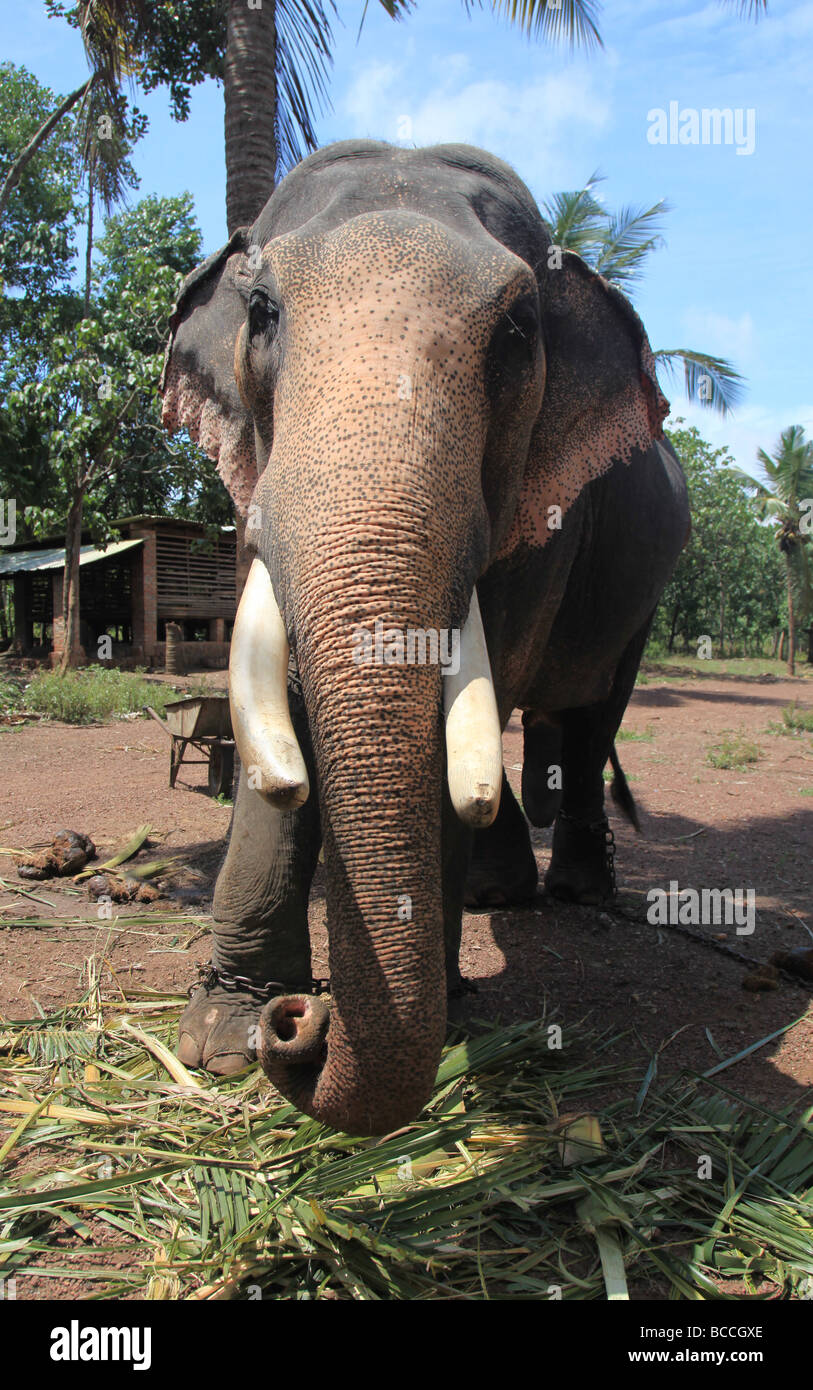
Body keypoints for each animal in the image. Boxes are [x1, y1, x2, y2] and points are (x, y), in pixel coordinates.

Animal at [161, 140, 689, 1137]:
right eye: (261, 311)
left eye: (519, 331)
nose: (304, 1023)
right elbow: (280, 706)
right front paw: (225, 1036)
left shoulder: (546, 514)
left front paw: (435, 1022)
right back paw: (495, 894)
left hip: (643, 590)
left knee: (584, 718)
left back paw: (574, 892)